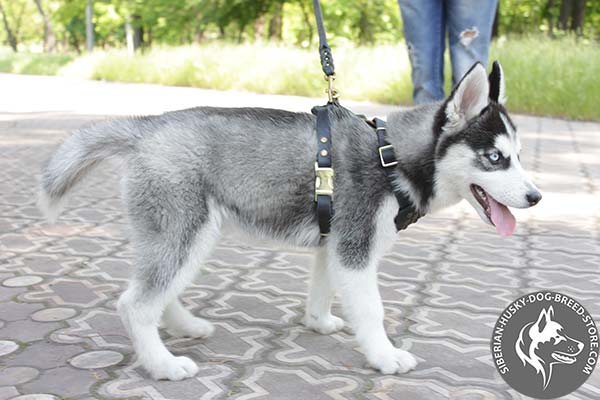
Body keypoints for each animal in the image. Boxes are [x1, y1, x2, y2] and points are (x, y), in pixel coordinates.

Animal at [39, 61, 540, 380]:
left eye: (518, 156)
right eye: (495, 158)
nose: (536, 197)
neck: (390, 157)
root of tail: (147, 126)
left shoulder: (333, 245)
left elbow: (322, 289)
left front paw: (319, 322)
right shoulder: (355, 249)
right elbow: (372, 310)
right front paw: (384, 355)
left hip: (188, 235)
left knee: (157, 290)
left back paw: (184, 327)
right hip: (184, 231)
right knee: (135, 304)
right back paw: (162, 365)